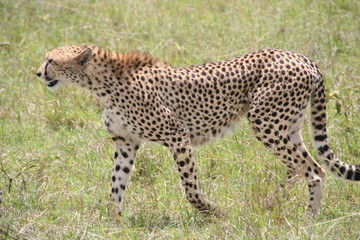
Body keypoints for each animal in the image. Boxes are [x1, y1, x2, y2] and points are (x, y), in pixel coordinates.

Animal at [37, 44, 360, 216]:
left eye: (51, 60)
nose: (38, 73)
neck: (101, 84)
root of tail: (301, 57)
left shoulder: (177, 135)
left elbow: (190, 187)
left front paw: (210, 211)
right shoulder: (125, 142)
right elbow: (116, 185)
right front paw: (113, 221)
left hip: (265, 122)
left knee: (311, 170)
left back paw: (301, 215)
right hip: (287, 127)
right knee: (308, 167)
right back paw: (290, 208)